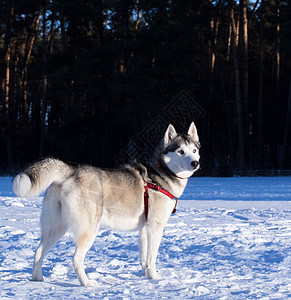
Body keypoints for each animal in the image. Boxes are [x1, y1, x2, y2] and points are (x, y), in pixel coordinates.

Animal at [13, 122, 201, 286]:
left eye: (194, 150)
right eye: (181, 151)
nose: (195, 163)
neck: (161, 173)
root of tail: (71, 170)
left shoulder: (144, 228)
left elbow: (143, 257)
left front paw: (145, 275)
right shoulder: (155, 226)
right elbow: (151, 257)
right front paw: (154, 277)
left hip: (57, 227)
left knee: (38, 251)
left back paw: (37, 279)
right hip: (88, 229)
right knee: (76, 258)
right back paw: (87, 283)